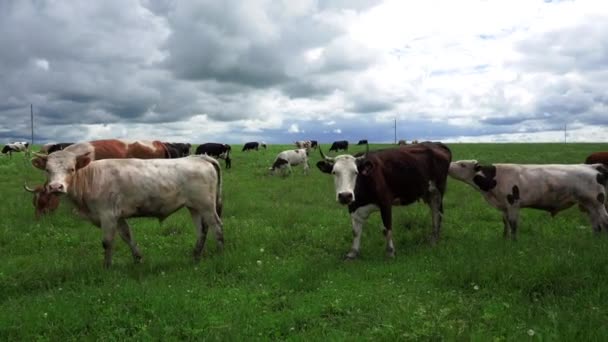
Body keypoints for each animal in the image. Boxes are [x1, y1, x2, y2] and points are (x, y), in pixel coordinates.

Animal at [30, 152, 223, 268]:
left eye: (71, 169)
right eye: (47, 170)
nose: (56, 187)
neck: (91, 178)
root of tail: (199, 157)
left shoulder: (107, 215)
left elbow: (107, 242)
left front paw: (106, 267)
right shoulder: (118, 216)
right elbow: (127, 236)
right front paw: (138, 259)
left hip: (206, 205)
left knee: (217, 226)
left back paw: (220, 252)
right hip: (194, 207)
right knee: (202, 230)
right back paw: (196, 256)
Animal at [318, 142, 452, 260]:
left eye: (355, 172)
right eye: (334, 172)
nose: (345, 195)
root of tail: (437, 144)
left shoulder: (385, 203)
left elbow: (387, 229)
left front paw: (390, 252)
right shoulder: (353, 206)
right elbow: (355, 231)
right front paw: (352, 253)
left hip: (438, 191)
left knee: (438, 213)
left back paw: (434, 241)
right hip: (429, 193)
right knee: (434, 212)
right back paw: (433, 238)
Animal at [446, 160, 608, 238]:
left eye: (462, 164)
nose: (448, 165)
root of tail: (593, 166)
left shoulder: (513, 203)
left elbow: (513, 224)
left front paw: (514, 241)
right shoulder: (504, 206)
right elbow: (505, 223)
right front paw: (504, 239)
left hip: (598, 202)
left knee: (604, 220)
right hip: (589, 204)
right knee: (596, 224)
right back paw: (595, 238)